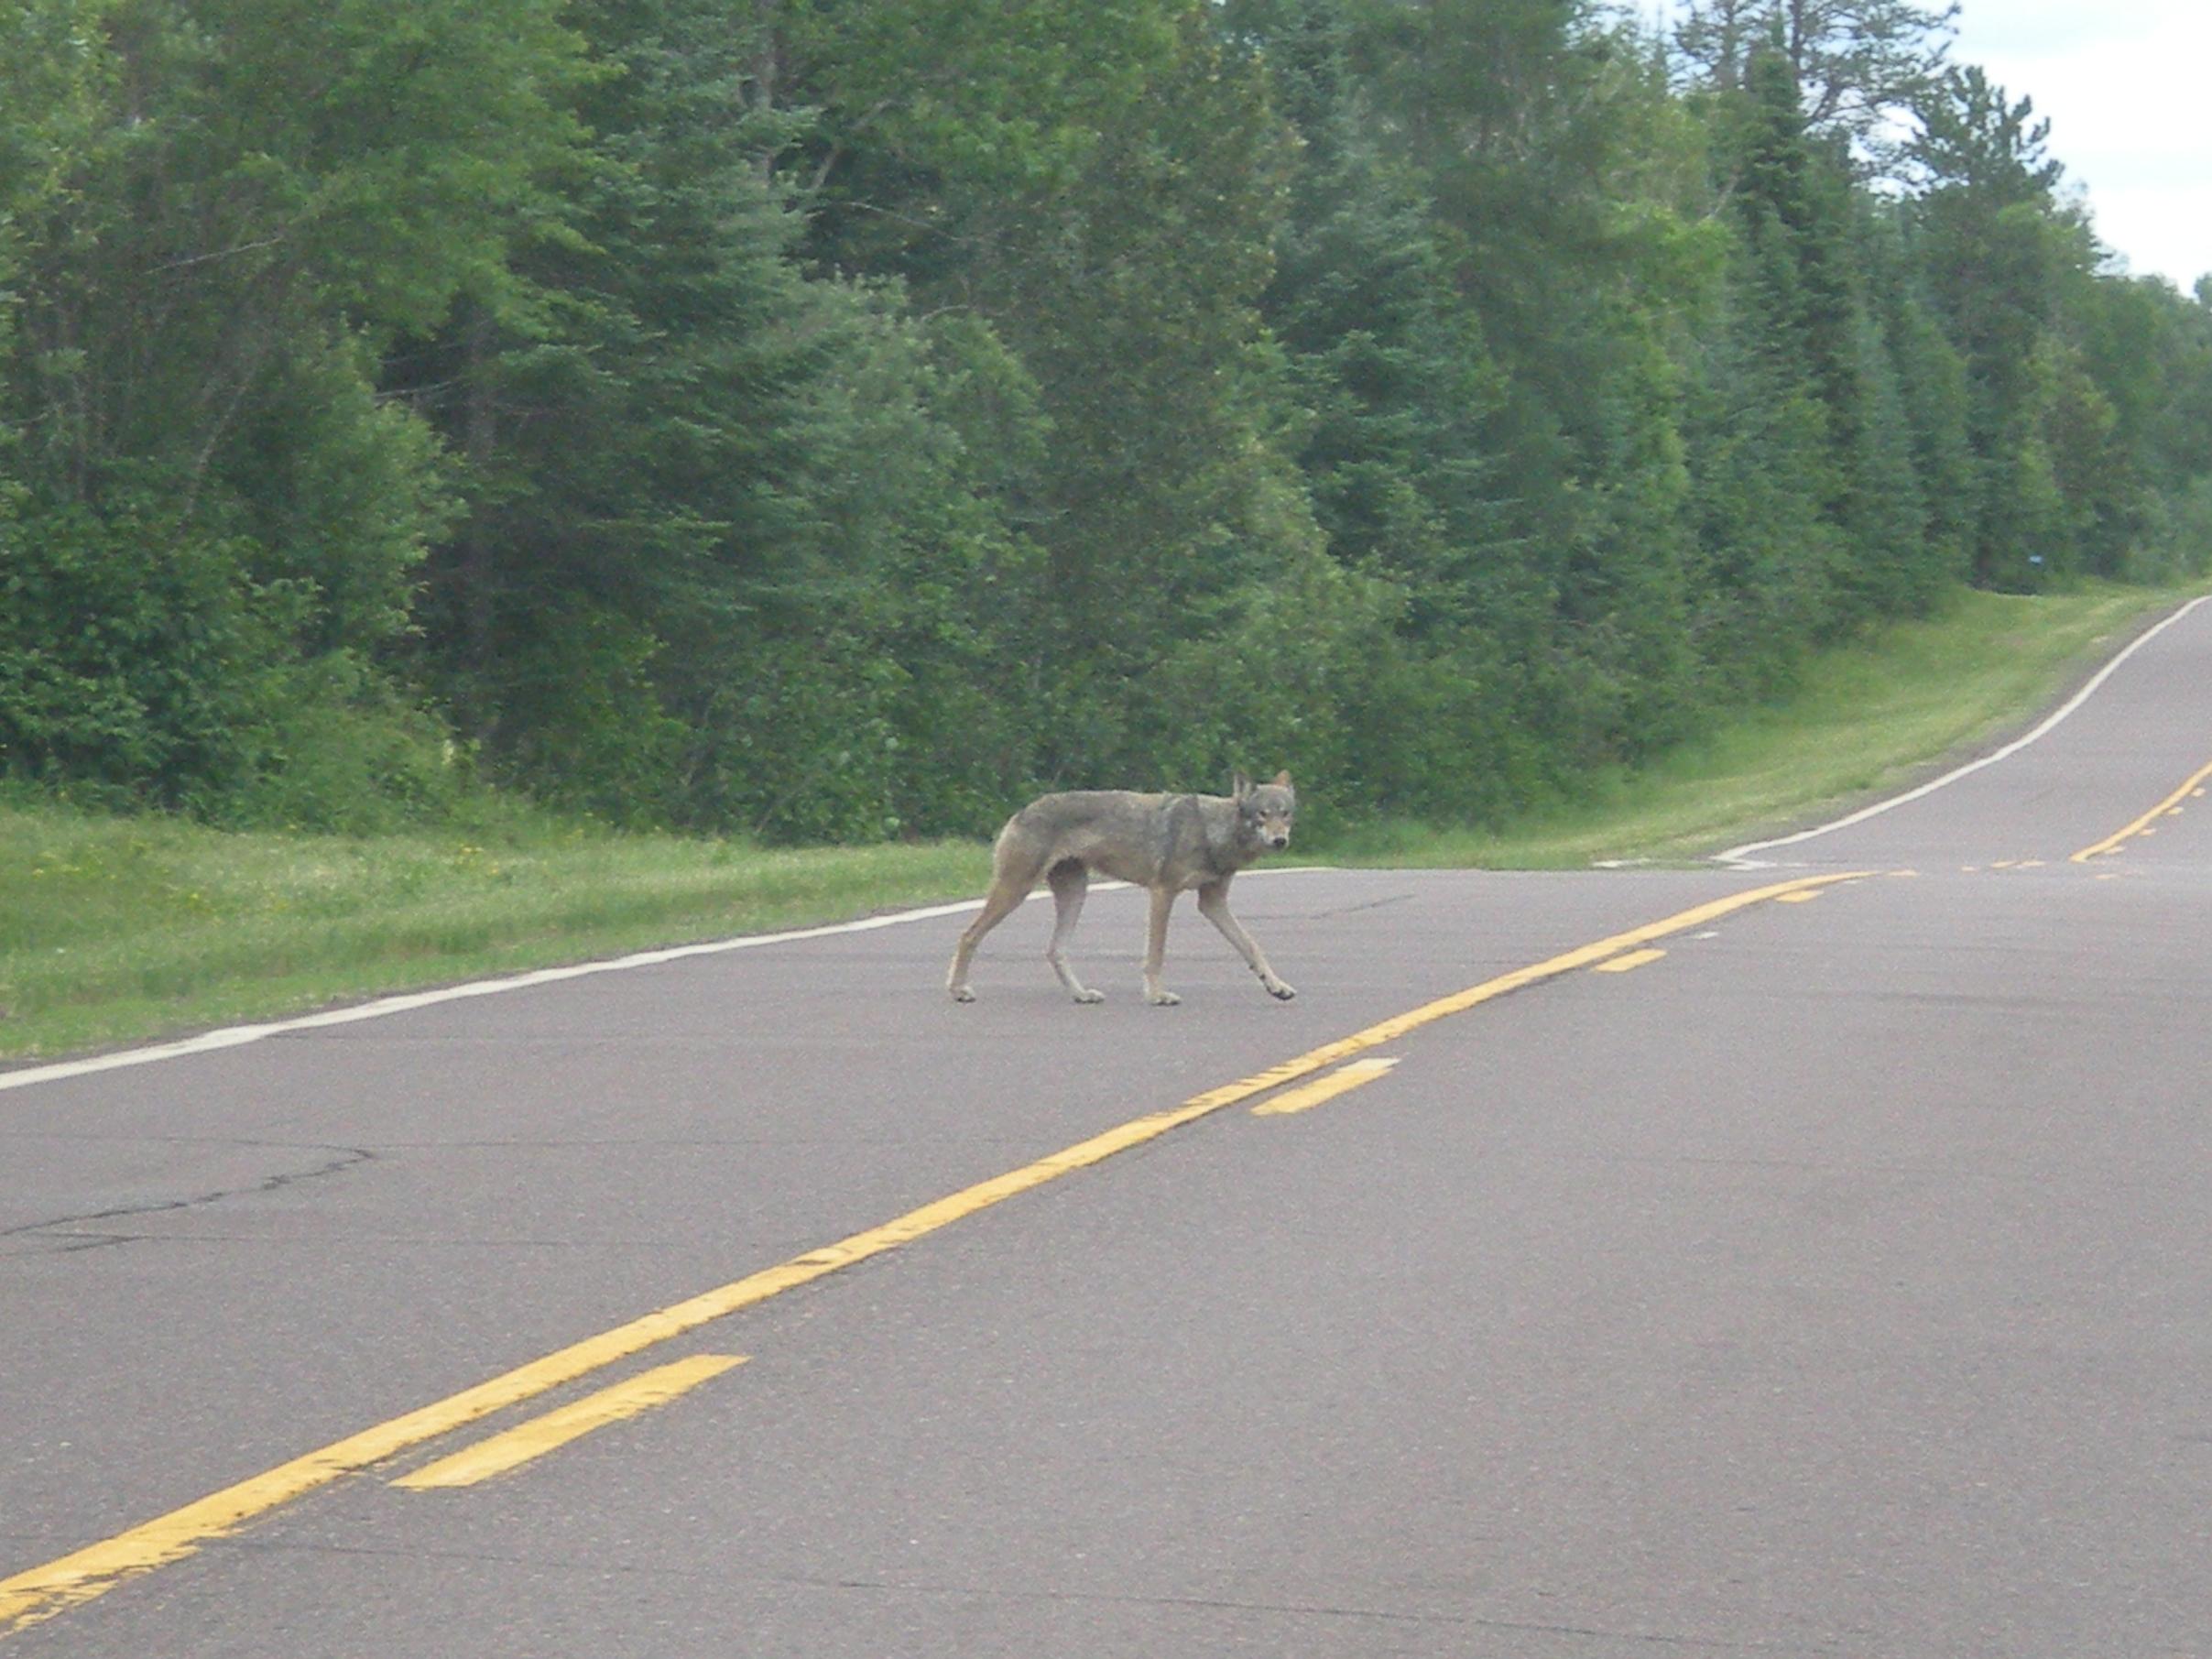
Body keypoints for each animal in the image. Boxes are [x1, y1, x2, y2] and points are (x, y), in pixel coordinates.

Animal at [946, 771, 1299, 1006]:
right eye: (1262, 815)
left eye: (1285, 814)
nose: (1281, 841)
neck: (1212, 831)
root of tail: (1022, 811)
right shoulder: (1162, 893)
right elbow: (1156, 953)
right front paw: (1157, 995)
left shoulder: (1213, 903)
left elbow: (1251, 945)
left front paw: (1276, 986)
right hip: (1017, 890)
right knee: (968, 935)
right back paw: (958, 990)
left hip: (1075, 895)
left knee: (1054, 950)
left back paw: (1081, 994)